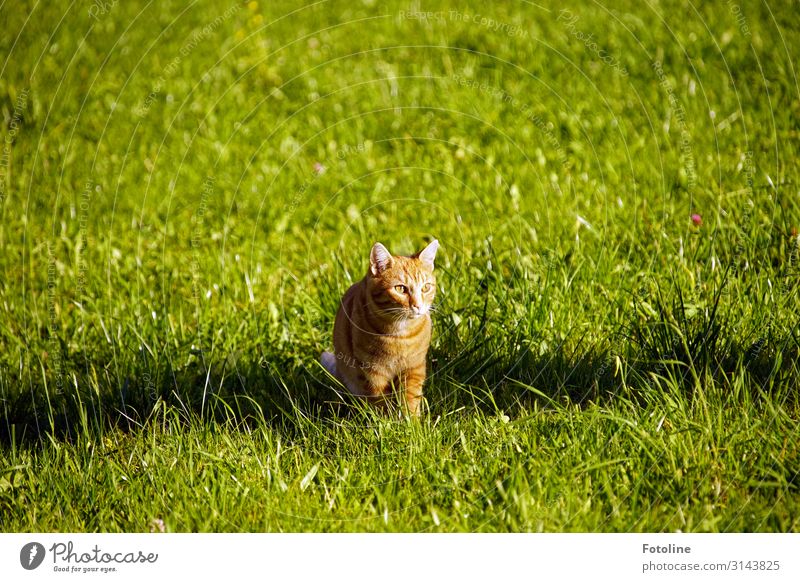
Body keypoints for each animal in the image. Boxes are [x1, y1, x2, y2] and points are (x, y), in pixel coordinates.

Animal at [322, 240, 440, 418]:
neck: (400, 334)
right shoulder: (373, 372)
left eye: (426, 288)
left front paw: (411, 421)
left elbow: (410, 398)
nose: (418, 306)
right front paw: (386, 422)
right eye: (400, 289)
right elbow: (380, 401)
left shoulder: (413, 368)